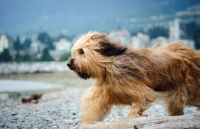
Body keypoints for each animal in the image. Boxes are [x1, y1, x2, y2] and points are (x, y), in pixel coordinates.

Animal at [67, 31, 200, 122]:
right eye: (75, 51)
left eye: (81, 51)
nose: (68, 64)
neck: (108, 66)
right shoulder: (103, 92)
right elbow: (94, 106)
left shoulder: (138, 89)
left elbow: (140, 101)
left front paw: (134, 117)